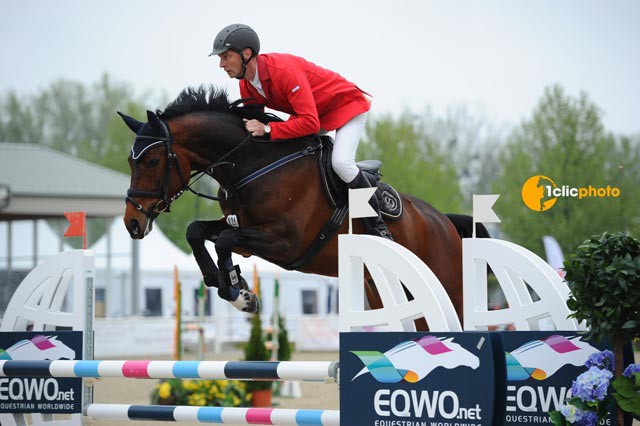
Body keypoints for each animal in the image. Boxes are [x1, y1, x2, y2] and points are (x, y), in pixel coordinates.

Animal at [120, 85, 488, 326]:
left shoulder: (285, 242)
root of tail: (444, 222)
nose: (132, 223)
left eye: (152, 160)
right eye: (130, 160)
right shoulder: (246, 234)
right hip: (384, 288)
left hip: (449, 287)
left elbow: (222, 240)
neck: (253, 164)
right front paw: (235, 289)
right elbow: (197, 231)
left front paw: (239, 292)